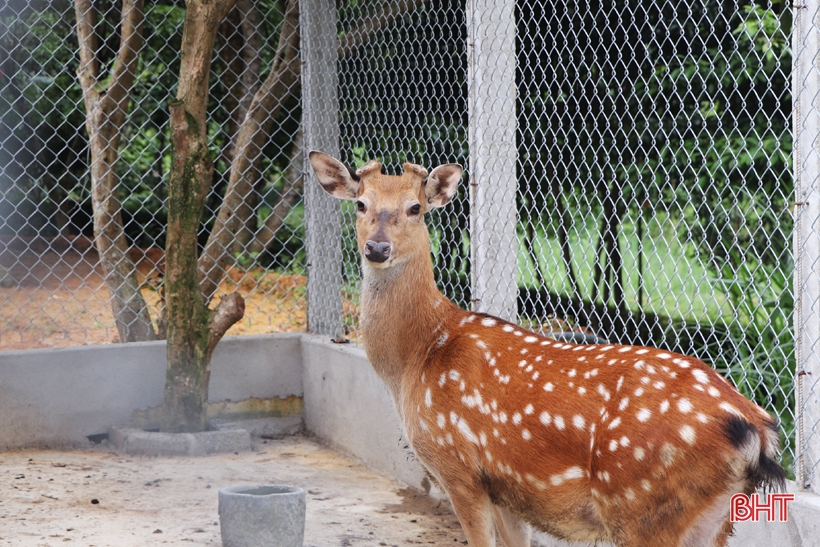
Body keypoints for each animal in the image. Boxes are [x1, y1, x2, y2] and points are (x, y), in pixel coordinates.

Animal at [310, 152, 788, 547]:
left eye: (416, 208)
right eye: (360, 204)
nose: (376, 248)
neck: (418, 356)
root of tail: (757, 431)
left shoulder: (458, 467)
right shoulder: (505, 489)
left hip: (641, 507)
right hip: (717, 520)